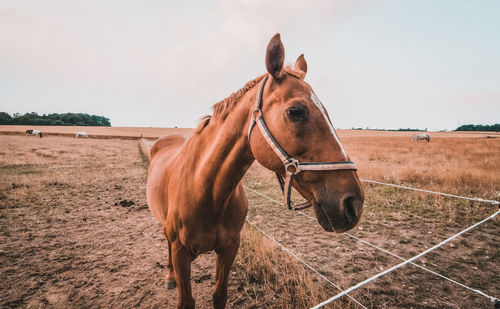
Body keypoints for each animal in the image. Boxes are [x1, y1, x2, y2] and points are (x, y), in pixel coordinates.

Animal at [146, 33, 366, 308]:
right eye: (295, 111)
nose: (353, 203)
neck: (208, 193)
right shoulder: (181, 253)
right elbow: (186, 299)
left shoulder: (230, 248)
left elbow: (219, 295)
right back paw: (169, 277)